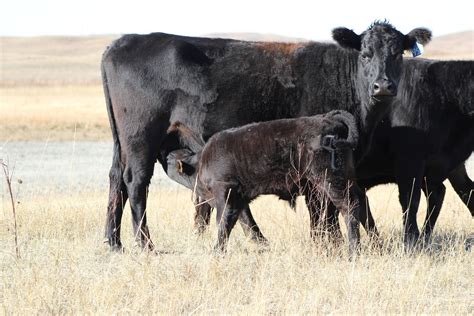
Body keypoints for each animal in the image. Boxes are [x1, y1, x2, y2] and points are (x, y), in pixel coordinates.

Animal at [169, 110, 362, 256]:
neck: (202, 161)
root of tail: (328, 118)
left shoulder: (225, 193)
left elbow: (223, 223)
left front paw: (217, 251)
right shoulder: (240, 200)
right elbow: (248, 224)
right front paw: (263, 246)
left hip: (331, 181)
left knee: (349, 208)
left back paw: (353, 252)